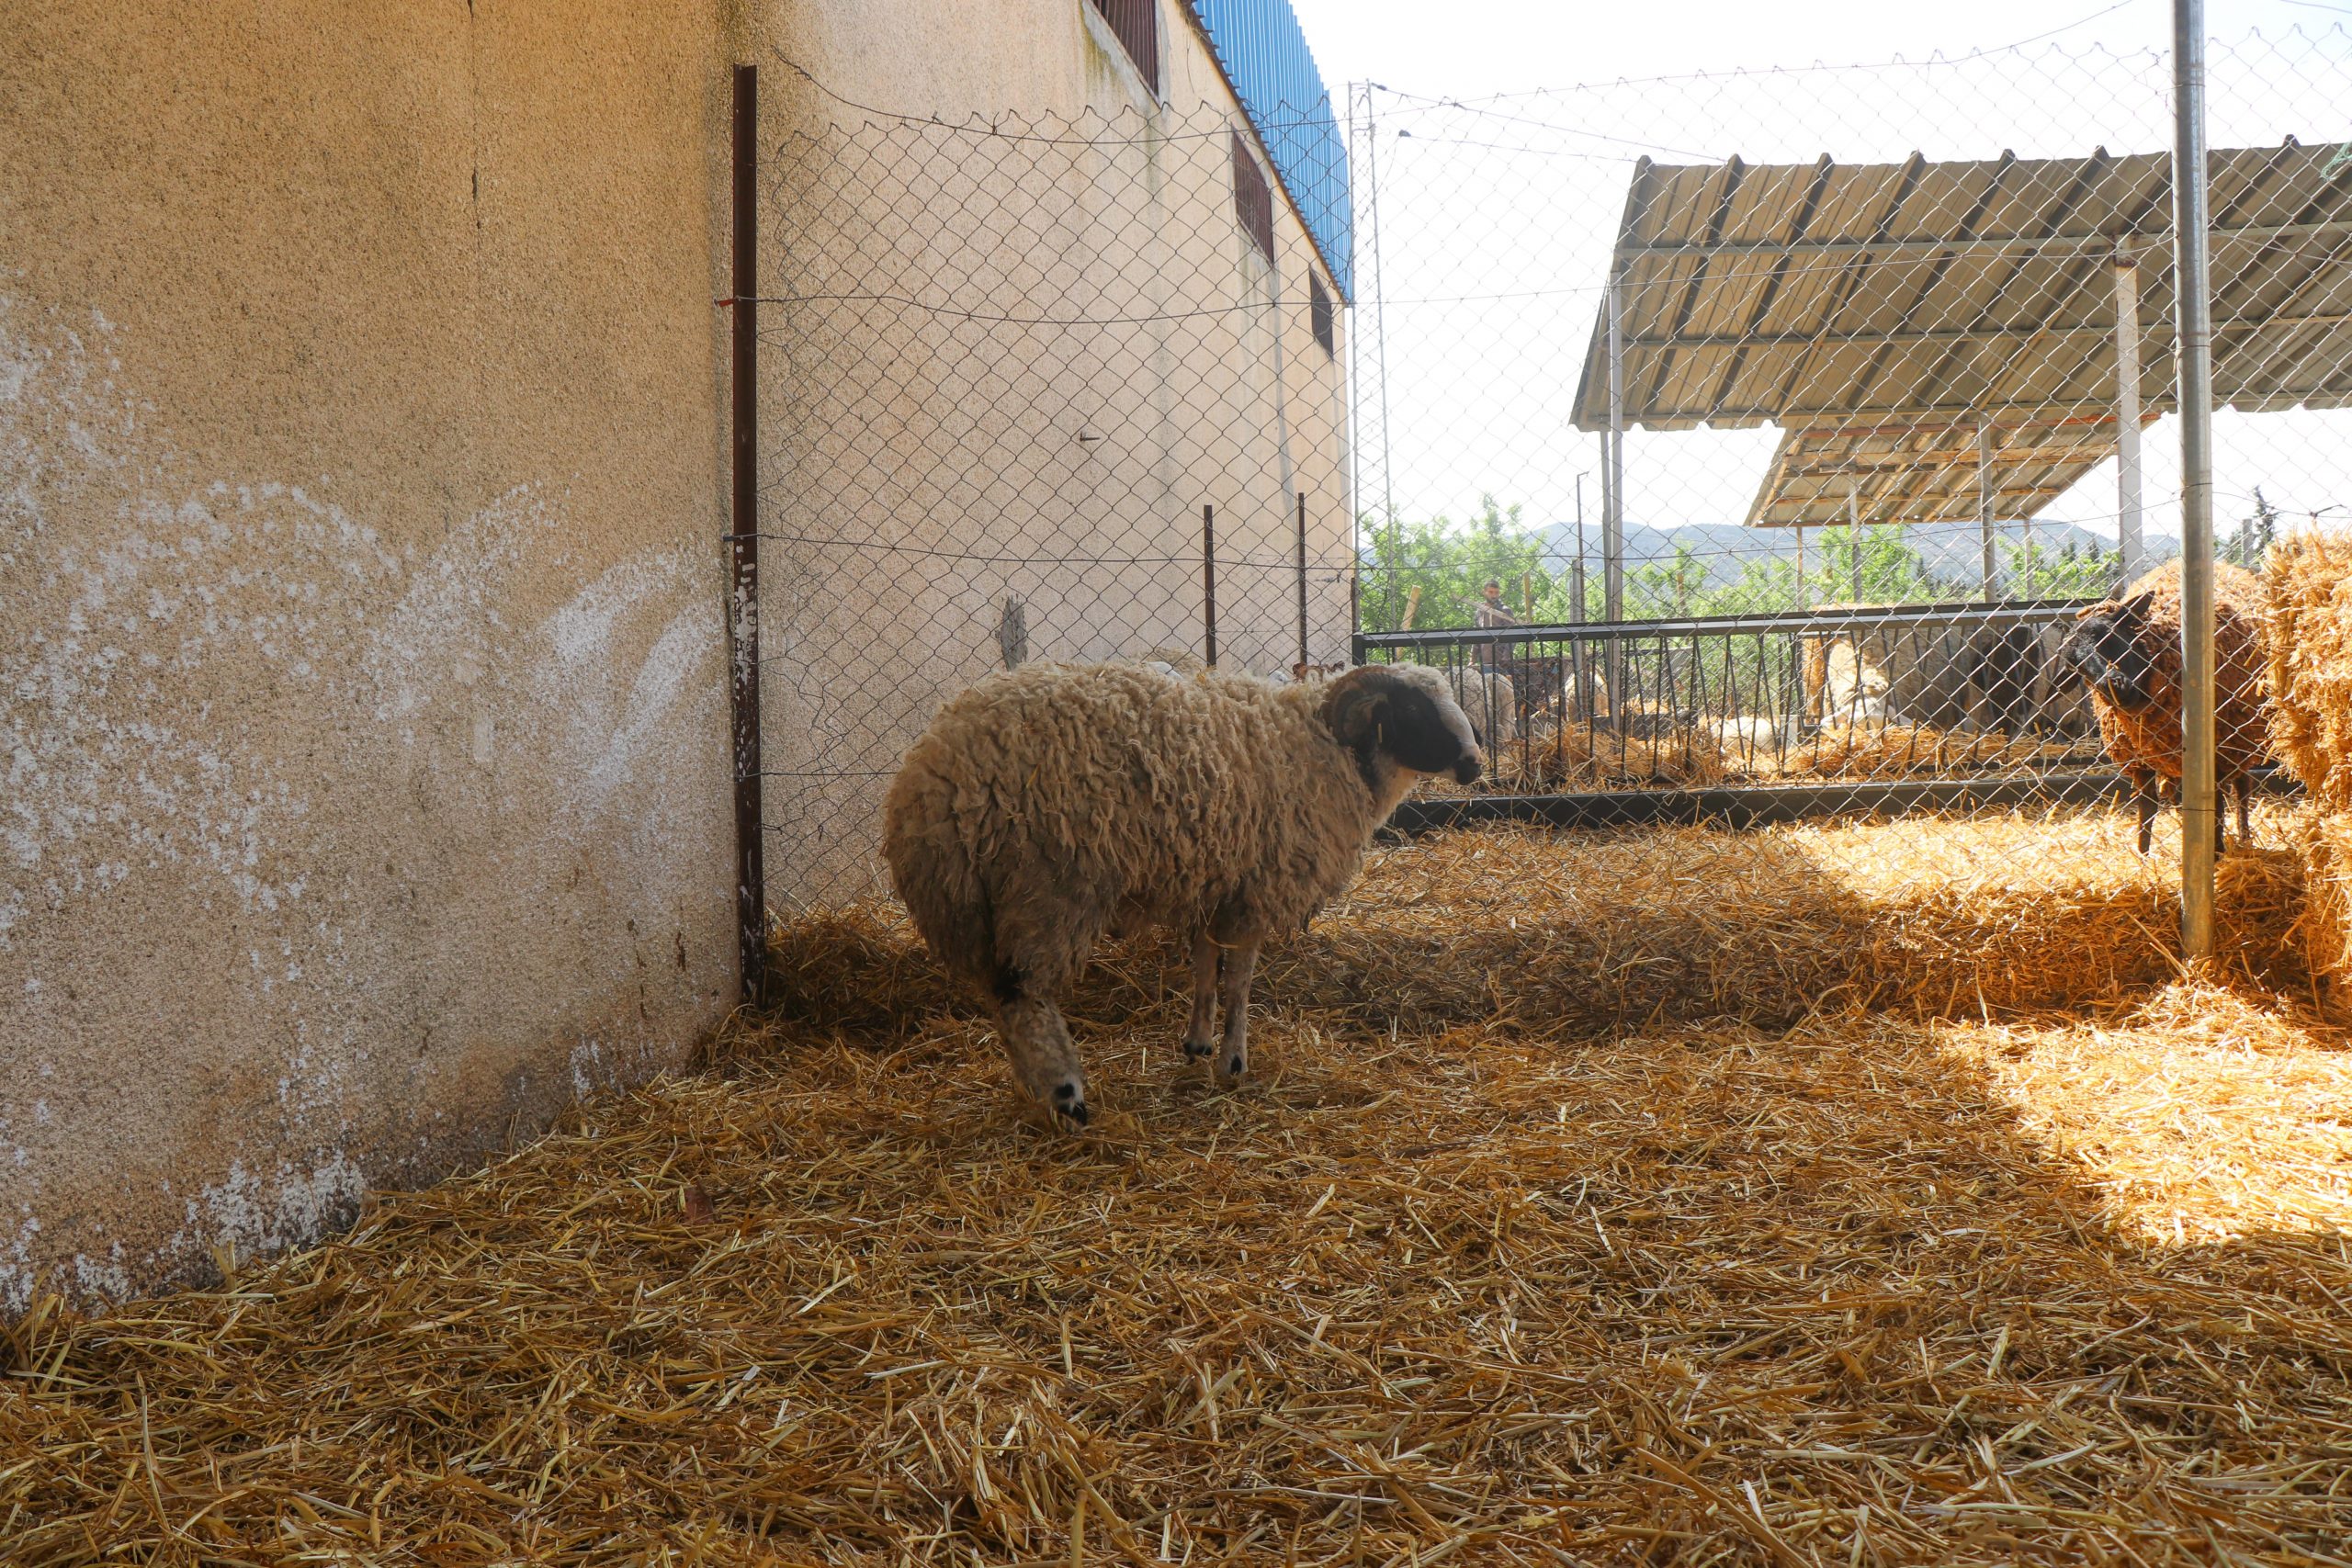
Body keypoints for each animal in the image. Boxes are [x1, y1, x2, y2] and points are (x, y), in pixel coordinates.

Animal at [881, 661, 1483, 1127]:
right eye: (1414, 712)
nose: (1475, 765)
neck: (1324, 749)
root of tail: (931, 778)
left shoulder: (1213, 883)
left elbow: (1204, 965)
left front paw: (1197, 1044)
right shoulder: (1255, 889)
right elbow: (1239, 980)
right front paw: (1234, 1061)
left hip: (970, 905)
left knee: (1000, 999)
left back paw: (1034, 1090)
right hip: (1045, 889)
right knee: (1022, 995)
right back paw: (1066, 1094)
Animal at [2057, 559, 2268, 855]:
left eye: (2111, 637)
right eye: (2076, 667)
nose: (2117, 688)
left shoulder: (2217, 753)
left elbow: (2215, 804)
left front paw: (2217, 852)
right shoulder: (2139, 762)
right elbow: (2147, 808)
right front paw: (2143, 854)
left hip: (2241, 736)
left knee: (2242, 786)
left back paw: (2244, 836)